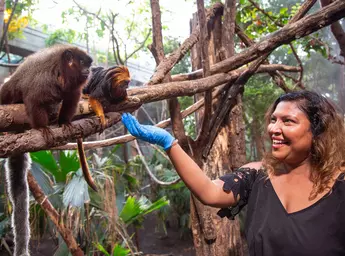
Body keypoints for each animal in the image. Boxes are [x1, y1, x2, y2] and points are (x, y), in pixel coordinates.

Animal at [0, 44, 92, 256]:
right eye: (82, 62)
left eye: (88, 64)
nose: (88, 70)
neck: (61, 73)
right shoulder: (43, 81)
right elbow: (34, 101)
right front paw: (42, 128)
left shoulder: (72, 89)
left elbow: (69, 102)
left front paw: (65, 123)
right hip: (7, 92)